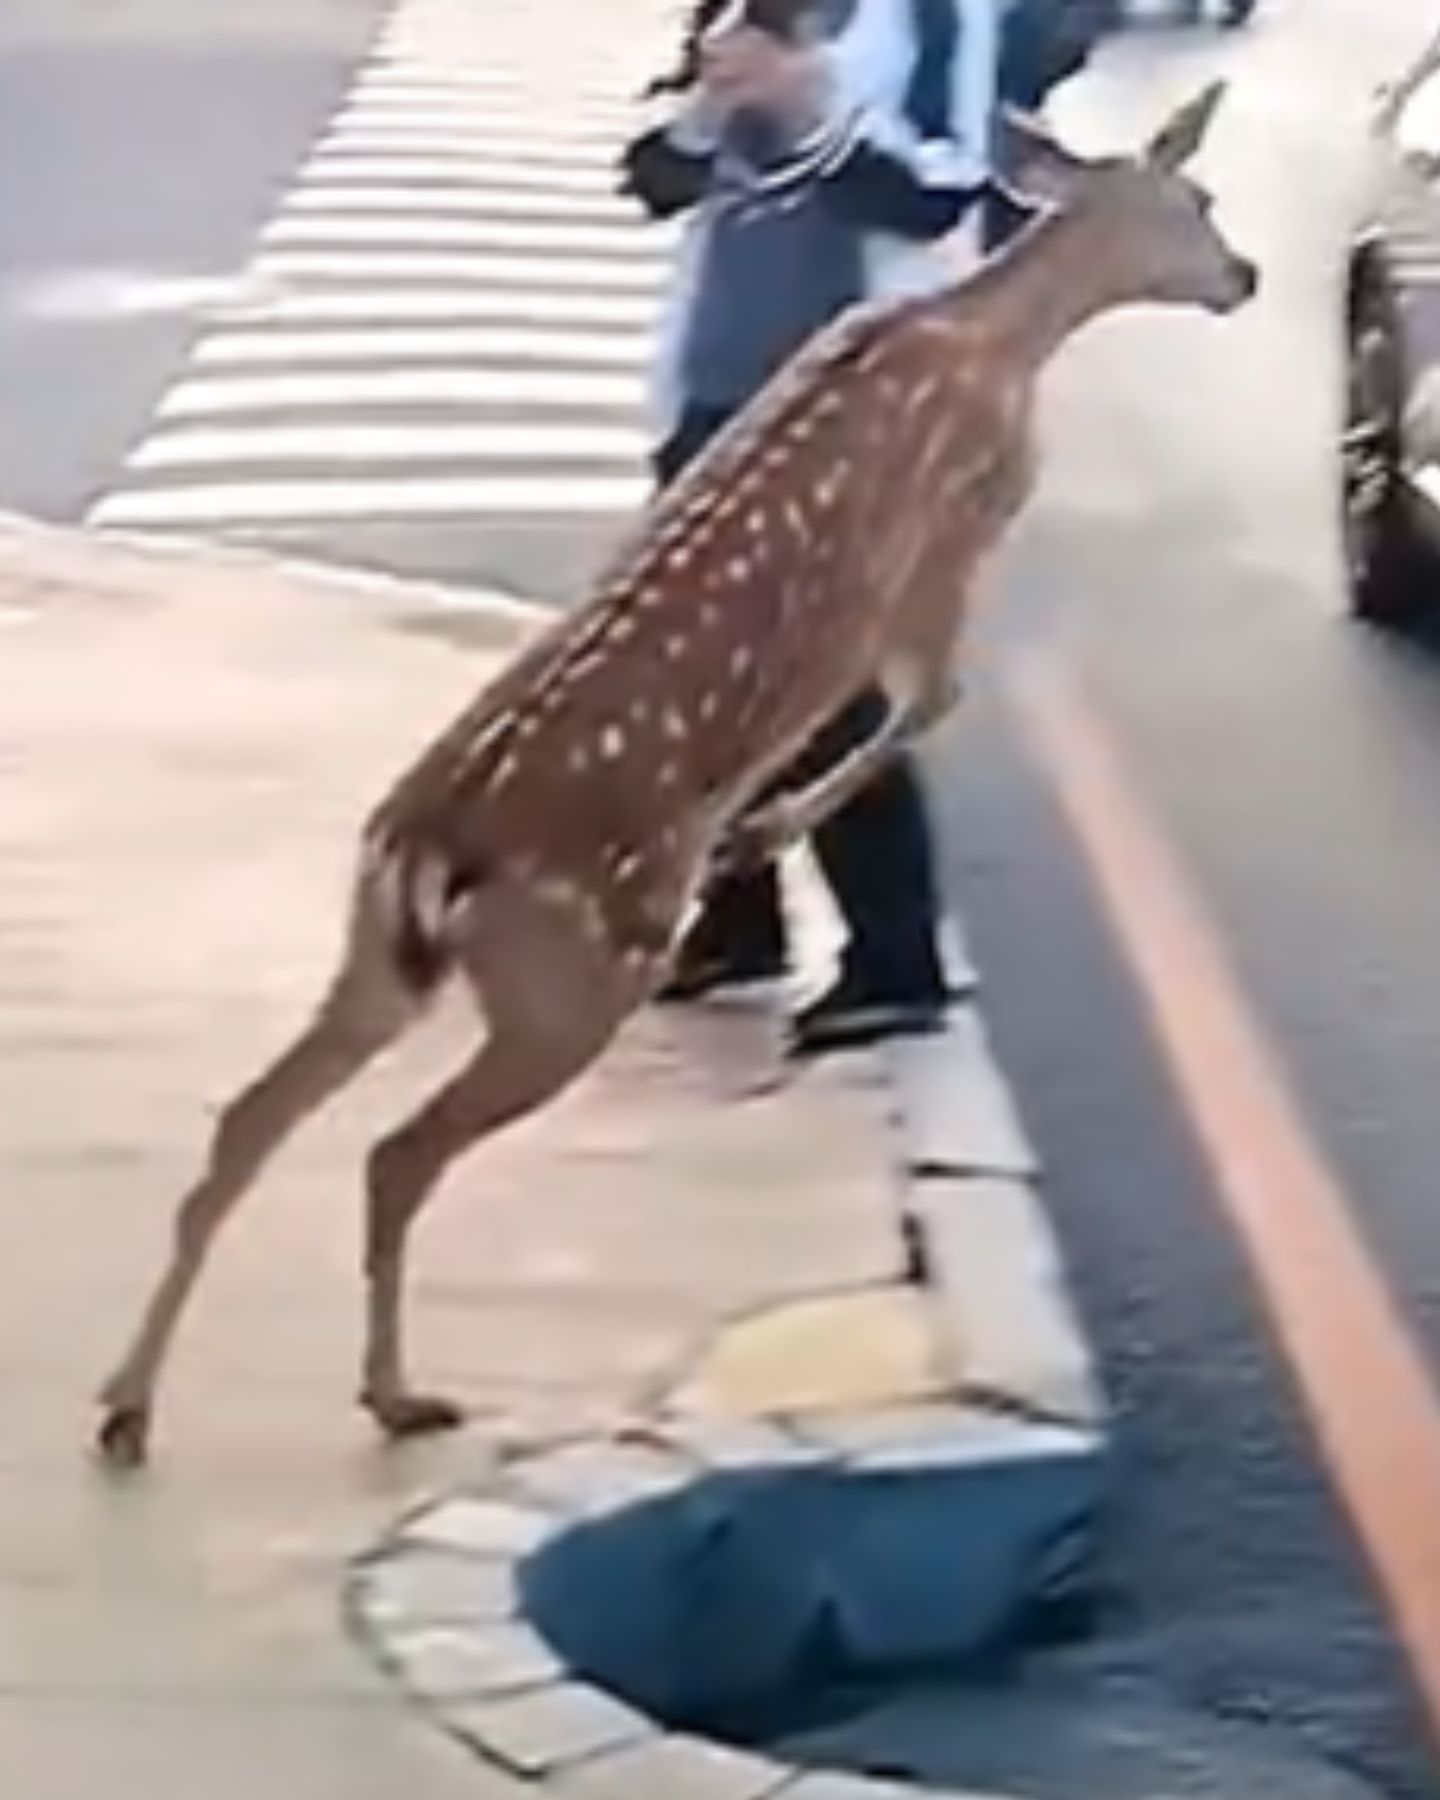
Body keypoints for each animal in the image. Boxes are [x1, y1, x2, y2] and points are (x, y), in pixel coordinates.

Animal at [95, 81, 1252, 1461]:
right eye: (1197, 201)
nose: (1245, 275)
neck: (1001, 342)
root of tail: (429, 852)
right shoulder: (941, 552)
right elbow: (929, 703)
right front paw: (756, 831)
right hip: (570, 978)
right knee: (396, 1153)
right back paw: (395, 1394)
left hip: (379, 953)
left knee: (249, 1117)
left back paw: (128, 1406)